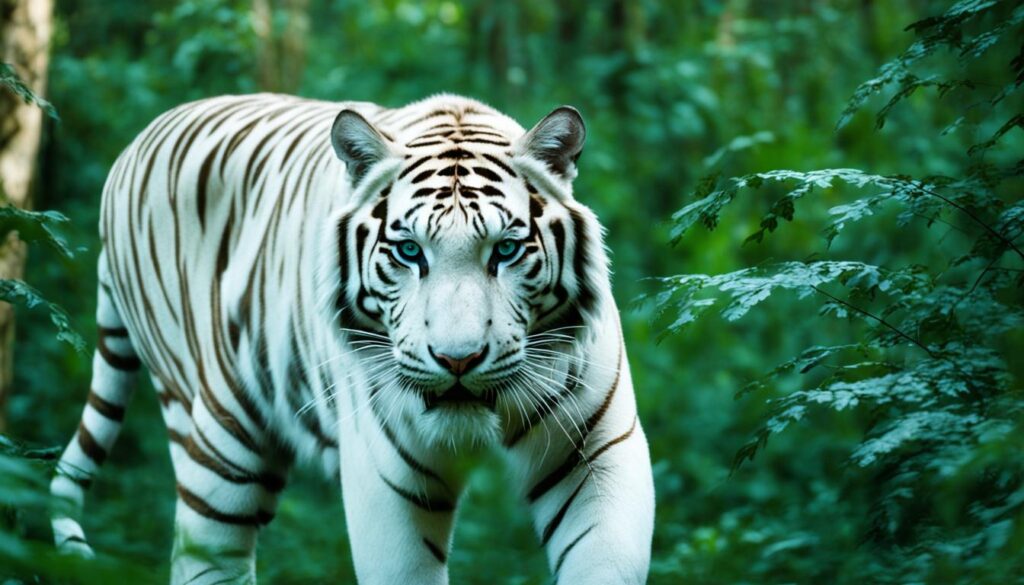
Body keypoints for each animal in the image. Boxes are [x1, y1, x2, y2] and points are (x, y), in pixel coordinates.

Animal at [48, 93, 651, 581]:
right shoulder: (388, 482)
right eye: (409, 251)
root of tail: (132, 148)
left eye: (505, 249)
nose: (458, 360)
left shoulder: (598, 455)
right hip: (219, 444)